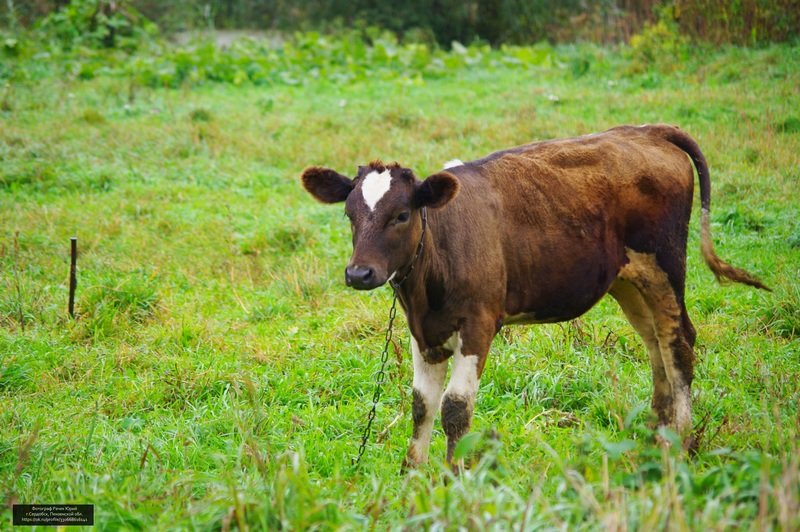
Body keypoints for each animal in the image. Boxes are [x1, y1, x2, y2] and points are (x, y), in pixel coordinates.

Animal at [302, 123, 768, 466]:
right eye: (349, 215)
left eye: (401, 215)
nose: (359, 273)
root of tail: (646, 131)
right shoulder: (423, 331)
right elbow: (421, 404)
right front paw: (412, 477)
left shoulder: (478, 324)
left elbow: (455, 407)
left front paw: (453, 481)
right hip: (629, 280)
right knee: (656, 346)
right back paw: (655, 435)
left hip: (665, 266)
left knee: (679, 343)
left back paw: (680, 443)